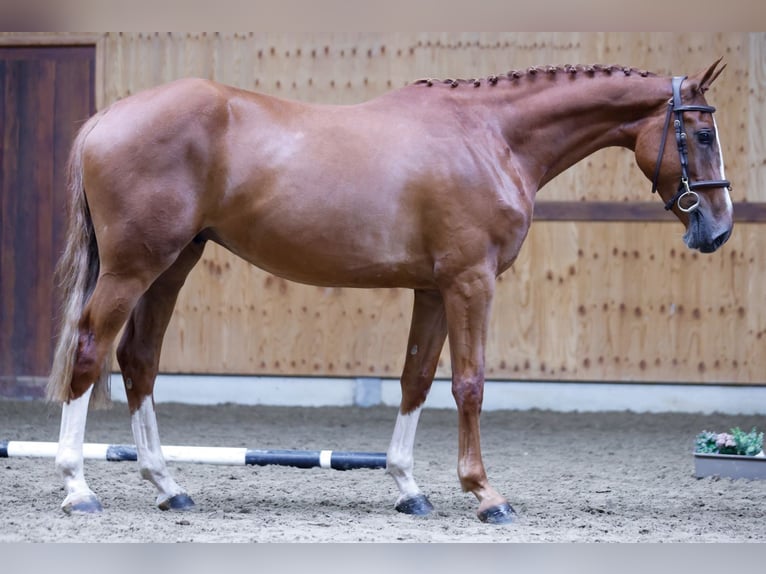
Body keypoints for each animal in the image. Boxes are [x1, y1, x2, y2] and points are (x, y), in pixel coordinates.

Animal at [45, 60, 736, 524]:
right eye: (701, 135)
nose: (719, 228)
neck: (491, 137)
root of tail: (108, 116)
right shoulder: (470, 282)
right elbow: (469, 384)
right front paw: (485, 494)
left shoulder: (432, 289)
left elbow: (416, 379)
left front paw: (410, 488)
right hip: (134, 268)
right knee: (90, 349)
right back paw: (78, 488)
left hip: (172, 265)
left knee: (138, 360)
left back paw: (168, 486)